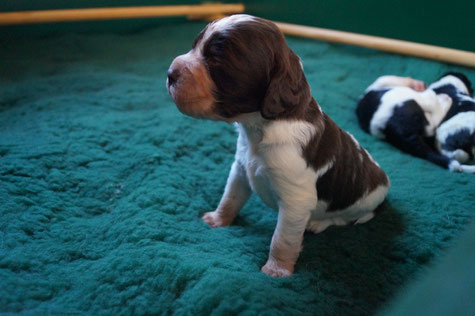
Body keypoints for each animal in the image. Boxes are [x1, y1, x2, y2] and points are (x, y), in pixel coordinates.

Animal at [167, 14, 390, 276]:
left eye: (216, 59)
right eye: (195, 46)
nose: (170, 73)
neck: (260, 127)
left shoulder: (295, 202)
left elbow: (282, 239)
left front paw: (276, 270)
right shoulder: (240, 169)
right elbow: (230, 197)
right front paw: (217, 219)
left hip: (363, 204)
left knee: (346, 218)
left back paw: (318, 222)